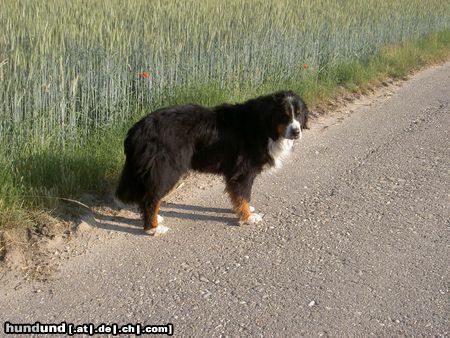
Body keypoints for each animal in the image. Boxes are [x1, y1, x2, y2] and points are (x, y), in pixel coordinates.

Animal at [115, 91, 310, 236]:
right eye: (284, 115)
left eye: (299, 114)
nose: (296, 131)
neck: (263, 125)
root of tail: (137, 129)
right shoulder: (243, 172)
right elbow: (243, 194)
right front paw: (248, 217)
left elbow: (241, 197)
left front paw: (245, 210)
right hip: (167, 169)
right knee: (150, 198)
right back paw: (153, 228)